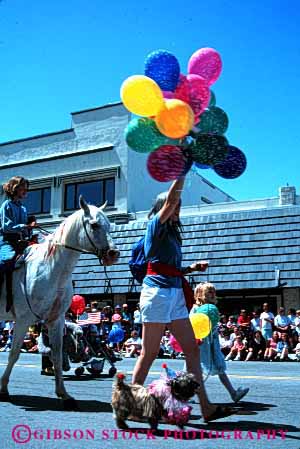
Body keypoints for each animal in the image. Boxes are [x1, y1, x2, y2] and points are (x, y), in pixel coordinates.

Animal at [0, 196, 119, 410]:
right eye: (94, 225)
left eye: (109, 225)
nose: (114, 254)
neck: (51, 269)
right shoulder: (22, 320)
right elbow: (14, 354)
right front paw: (4, 389)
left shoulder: (56, 321)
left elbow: (56, 355)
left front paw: (64, 395)